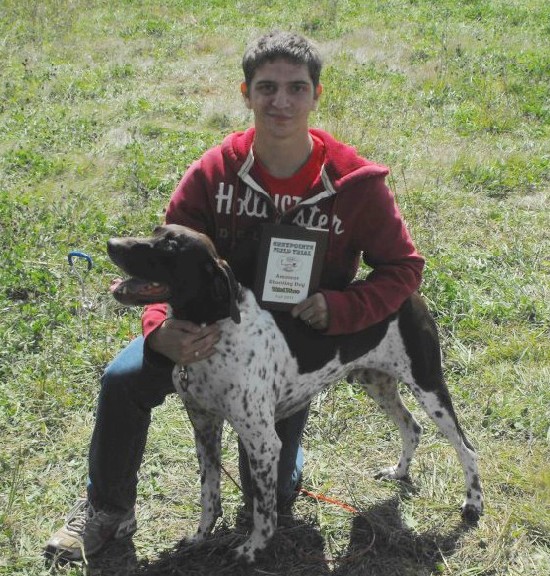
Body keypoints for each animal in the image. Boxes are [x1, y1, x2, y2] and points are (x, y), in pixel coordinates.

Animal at [107, 223, 483, 563]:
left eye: (170, 246)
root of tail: (410, 294)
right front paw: (201, 537)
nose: (112, 243)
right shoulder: (204, 428)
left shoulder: (262, 443)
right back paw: (399, 472)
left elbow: (264, 510)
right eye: (156, 232)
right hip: (377, 383)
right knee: (412, 428)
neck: (214, 329)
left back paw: (473, 503)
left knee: (466, 447)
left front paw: (253, 549)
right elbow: (208, 495)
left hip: (429, 386)